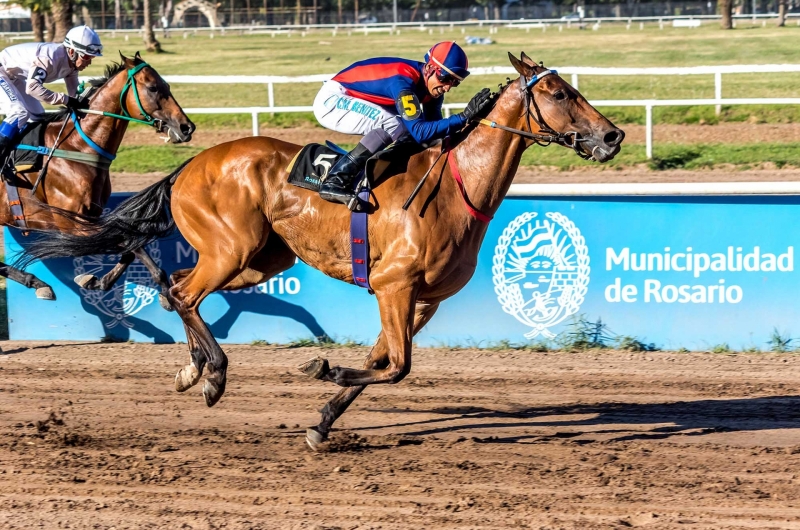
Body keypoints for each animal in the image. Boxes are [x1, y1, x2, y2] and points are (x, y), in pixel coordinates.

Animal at [2, 53, 194, 304]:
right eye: (153, 87)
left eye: (168, 86)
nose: (187, 127)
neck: (77, 146)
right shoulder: (70, 224)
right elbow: (124, 240)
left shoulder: (93, 215)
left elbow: (130, 246)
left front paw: (98, 282)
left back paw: (36, 282)